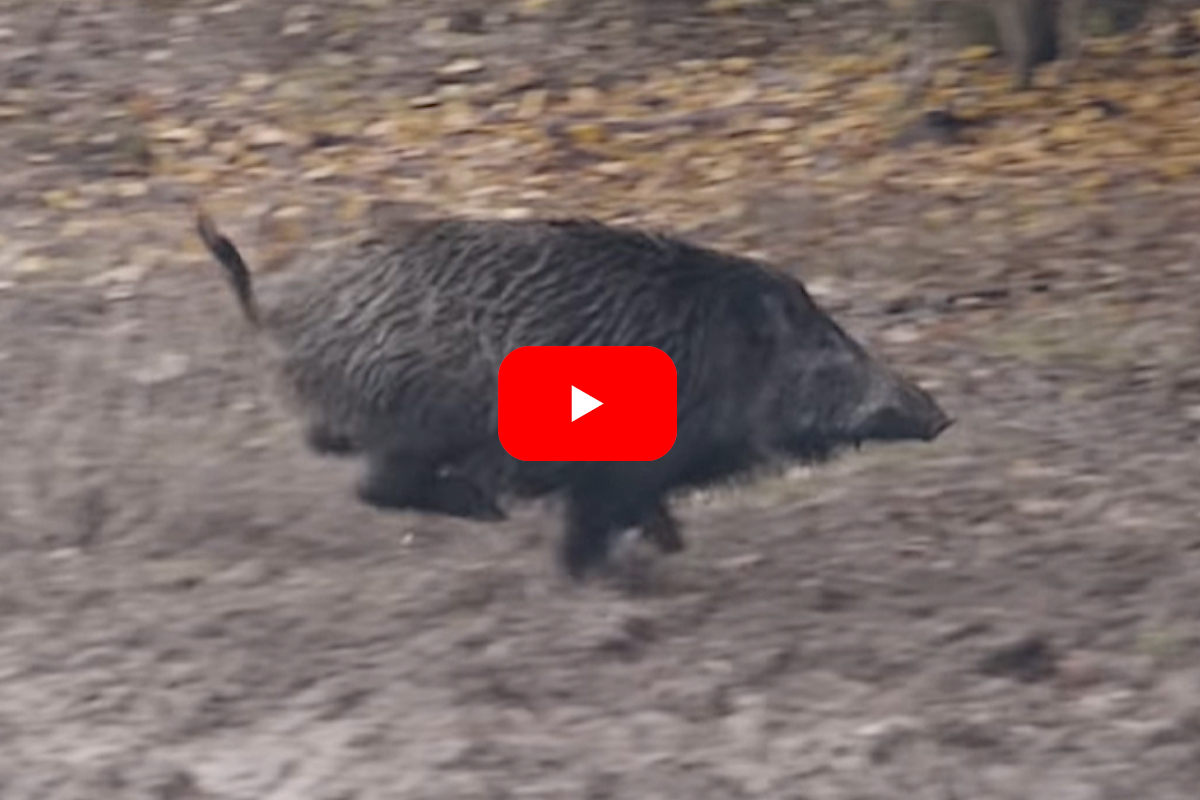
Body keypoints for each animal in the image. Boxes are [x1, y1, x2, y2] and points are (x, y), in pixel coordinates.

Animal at [195, 210, 952, 578]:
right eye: (827, 348)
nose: (940, 413)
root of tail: (282, 312)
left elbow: (649, 517)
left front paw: (670, 551)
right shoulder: (612, 469)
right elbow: (591, 529)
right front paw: (599, 584)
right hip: (413, 424)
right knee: (377, 487)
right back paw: (487, 510)